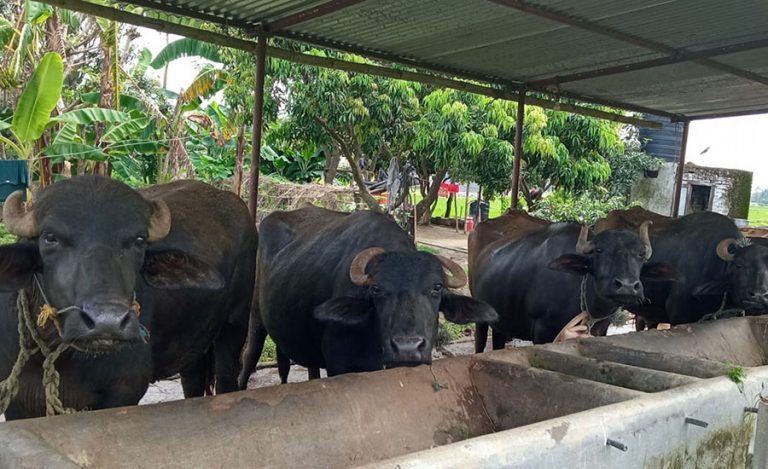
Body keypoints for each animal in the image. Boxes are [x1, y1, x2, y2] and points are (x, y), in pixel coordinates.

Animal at [0, 176, 258, 416]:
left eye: (139, 240)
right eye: (50, 238)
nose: (107, 323)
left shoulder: (124, 391)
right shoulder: (16, 401)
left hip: (234, 326)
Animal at [237, 205, 496, 384]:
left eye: (437, 288)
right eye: (376, 289)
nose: (408, 348)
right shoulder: (338, 363)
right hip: (256, 314)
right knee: (249, 357)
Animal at [464, 209, 676, 348]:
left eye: (640, 255)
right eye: (599, 251)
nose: (627, 286)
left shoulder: (601, 329)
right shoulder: (542, 331)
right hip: (480, 316)